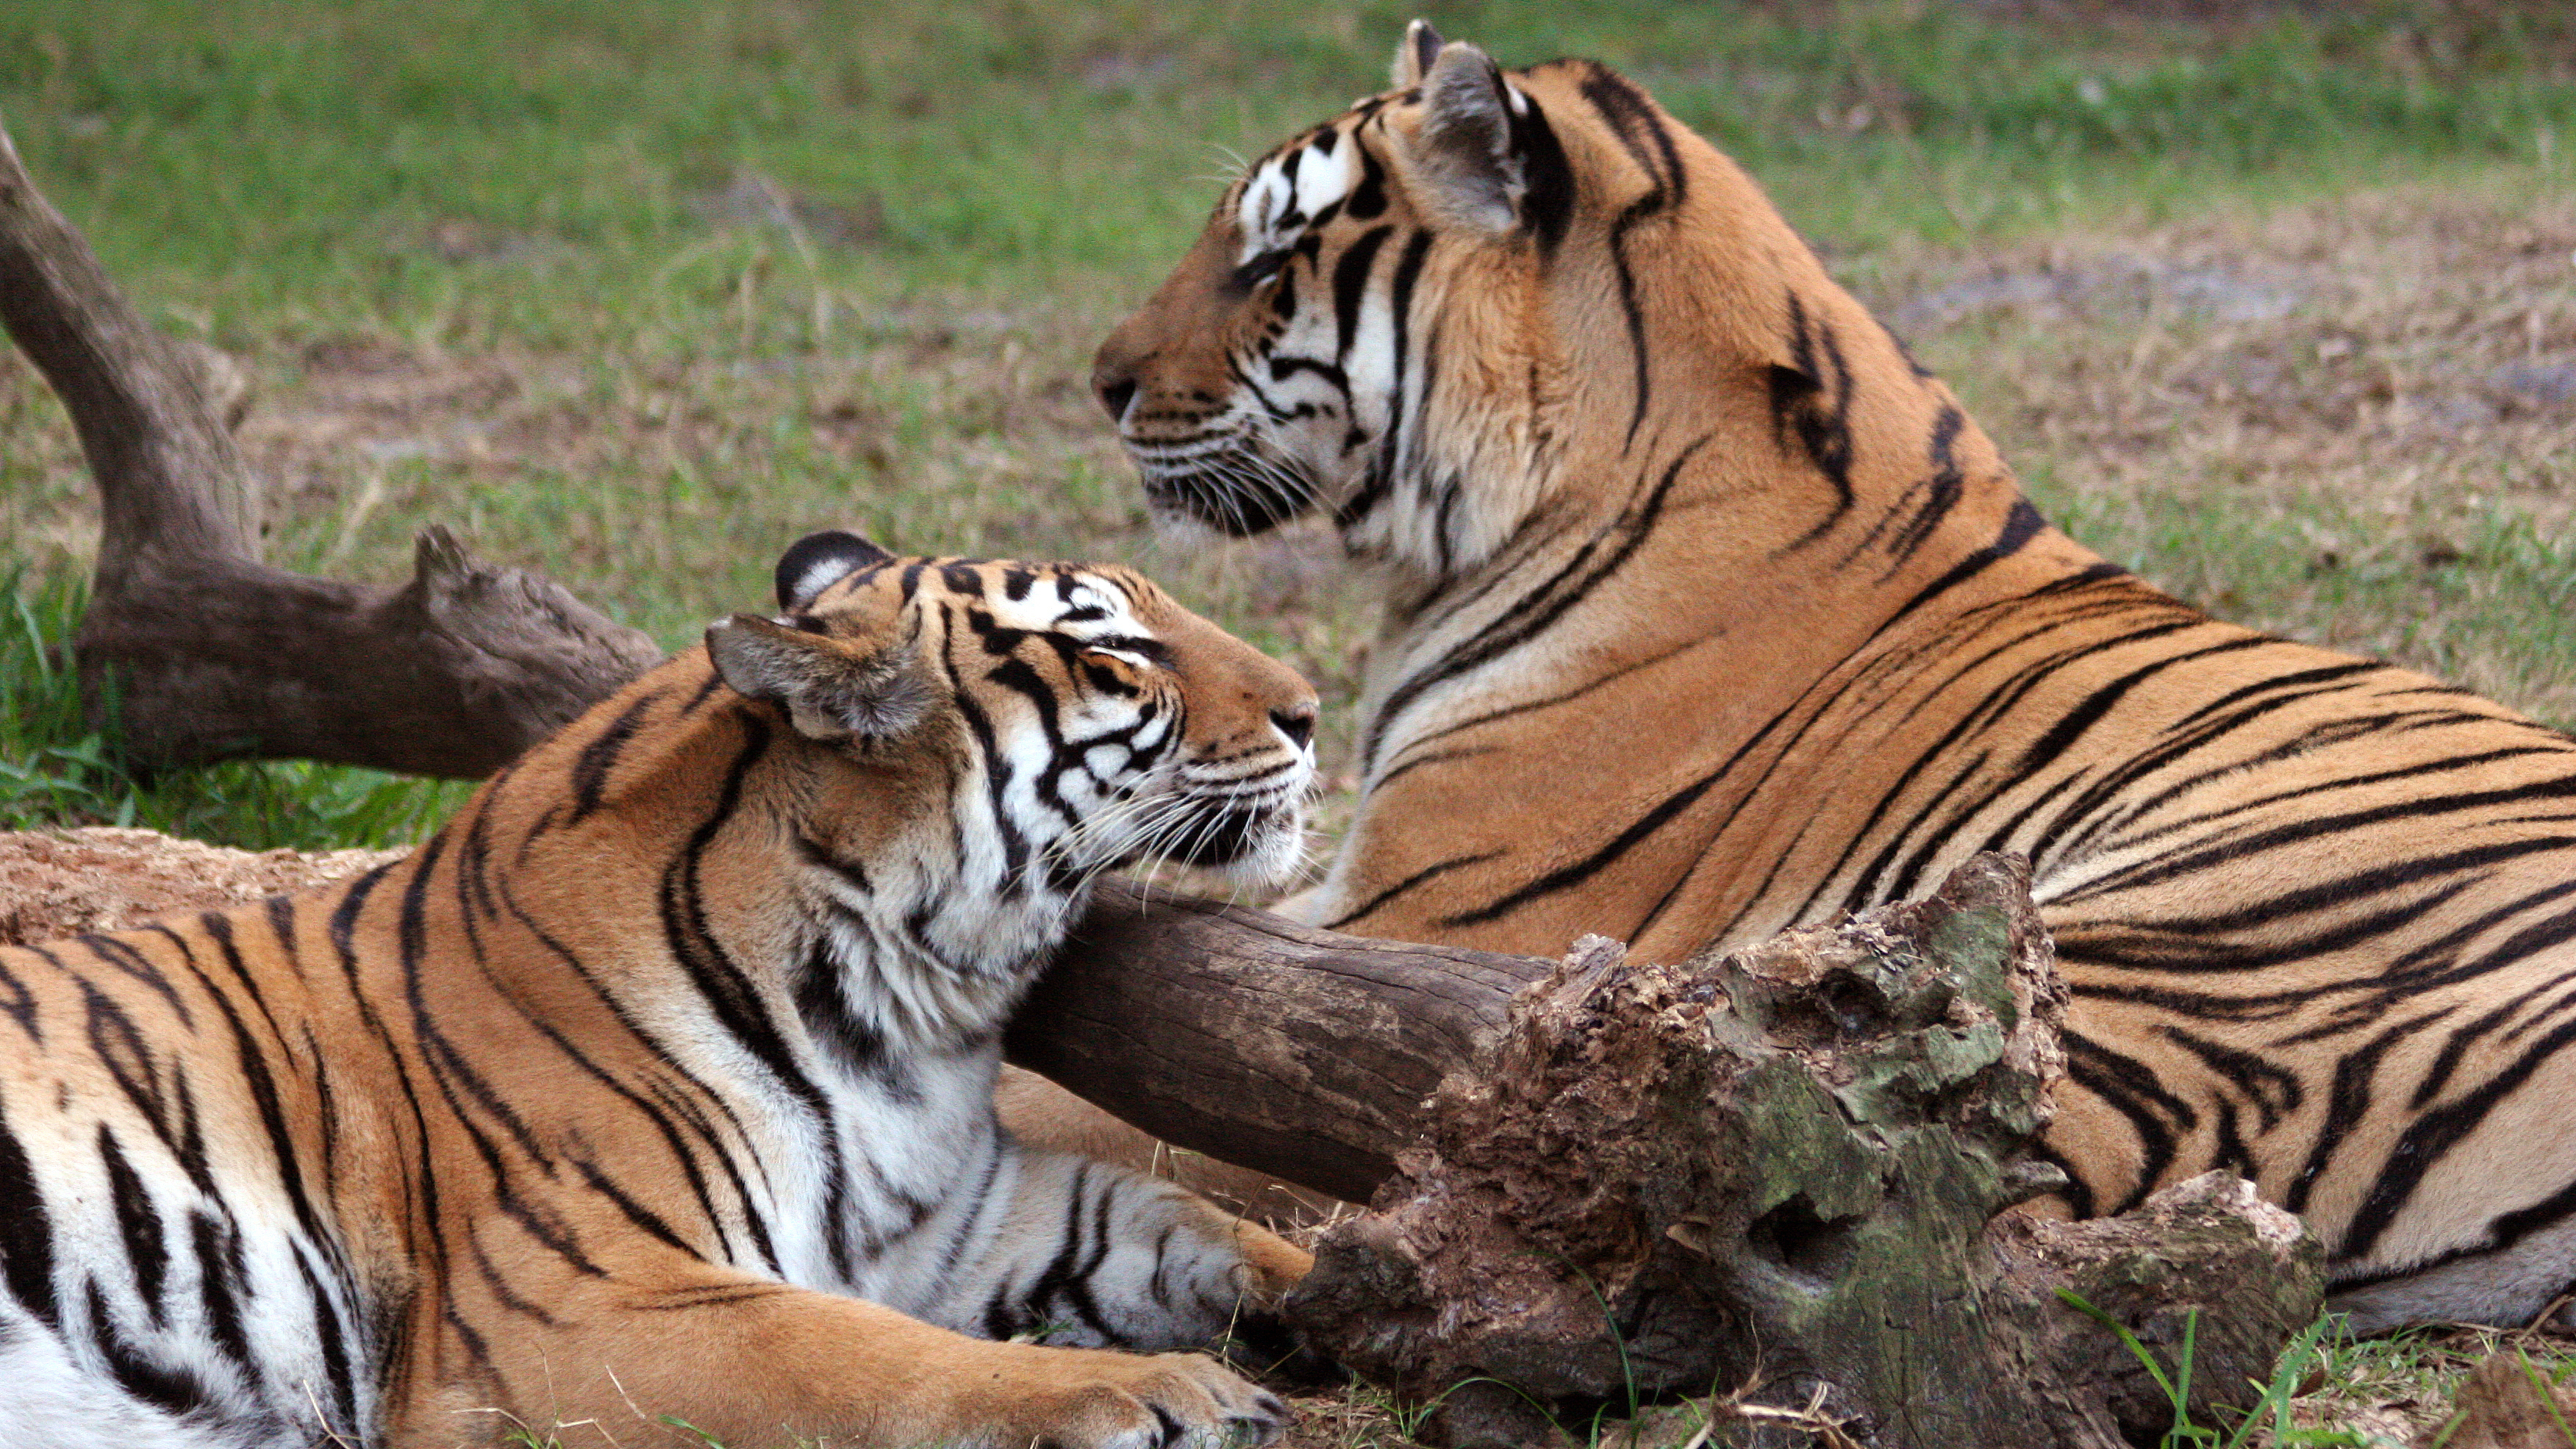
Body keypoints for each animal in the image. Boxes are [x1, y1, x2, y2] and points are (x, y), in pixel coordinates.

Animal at [0, 523, 1319, 1433]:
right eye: (1113, 649)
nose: (1311, 711)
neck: (906, 1015)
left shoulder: (962, 1221)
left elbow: (1193, 1217)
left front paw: (1337, 1292)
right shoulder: (573, 1307)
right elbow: (872, 1359)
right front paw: (1162, 1391)